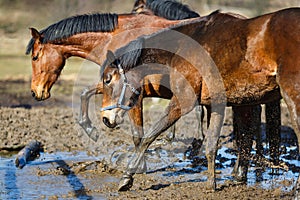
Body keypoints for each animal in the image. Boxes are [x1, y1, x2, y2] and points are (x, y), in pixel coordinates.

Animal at [101, 8, 300, 194]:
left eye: (107, 79)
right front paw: (212, 184)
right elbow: (212, 144)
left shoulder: (183, 101)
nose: (105, 118)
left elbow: (148, 136)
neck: (185, 45)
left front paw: (127, 178)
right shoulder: (216, 104)